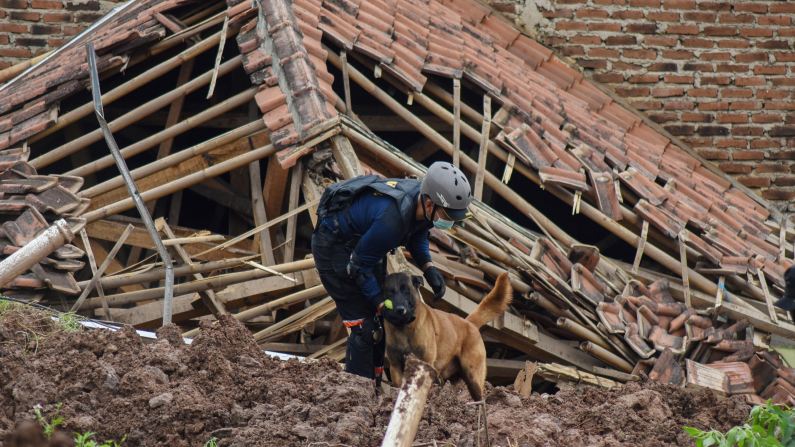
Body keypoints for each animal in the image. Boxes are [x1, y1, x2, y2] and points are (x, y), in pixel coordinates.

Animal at [382, 272, 512, 400]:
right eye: (390, 292)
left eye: (406, 291)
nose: (400, 310)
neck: (403, 328)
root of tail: (469, 323)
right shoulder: (395, 366)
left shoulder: (425, 363)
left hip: (473, 377)